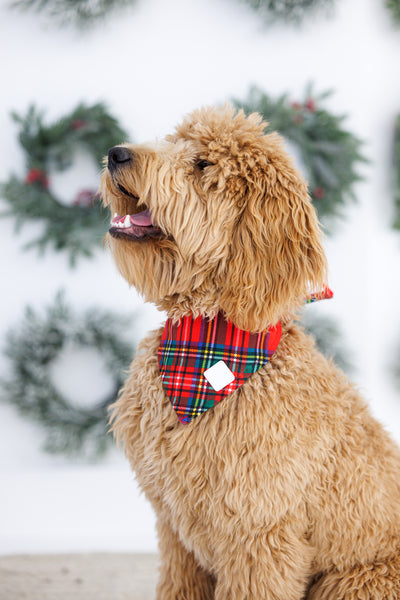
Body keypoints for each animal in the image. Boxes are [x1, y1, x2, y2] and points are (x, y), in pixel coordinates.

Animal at [102, 108, 400, 600]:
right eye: (173, 141)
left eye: (203, 165)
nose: (115, 153)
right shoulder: (175, 531)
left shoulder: (259, 534)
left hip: (356, 581)